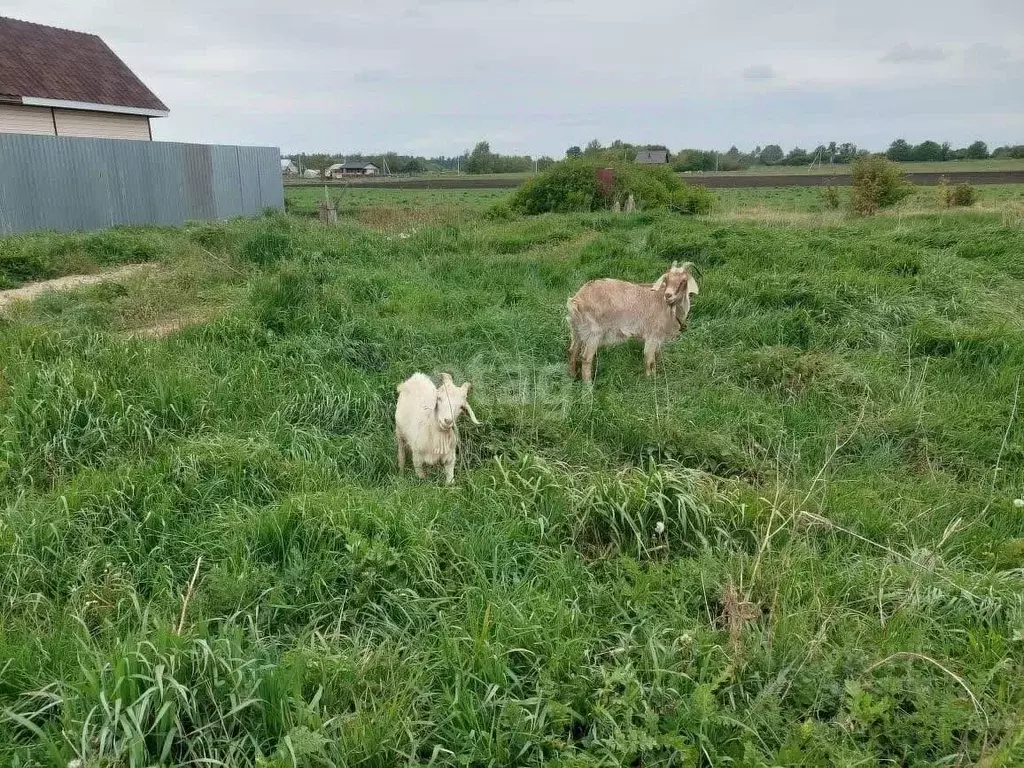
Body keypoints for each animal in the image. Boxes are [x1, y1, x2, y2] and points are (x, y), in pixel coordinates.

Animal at [565, 262, 700, 385]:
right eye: (666, 279)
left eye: (683, 281)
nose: (668, 295)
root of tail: (576, 301)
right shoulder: (652, 335)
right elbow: (649, 359)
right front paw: (650, 380)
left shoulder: (658, 339)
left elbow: (655, 358)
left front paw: (655, 376)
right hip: (594, 332)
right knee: (586, 357)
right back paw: (588, 386)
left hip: (577, 329)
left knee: (573, 350)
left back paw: (572, 377)